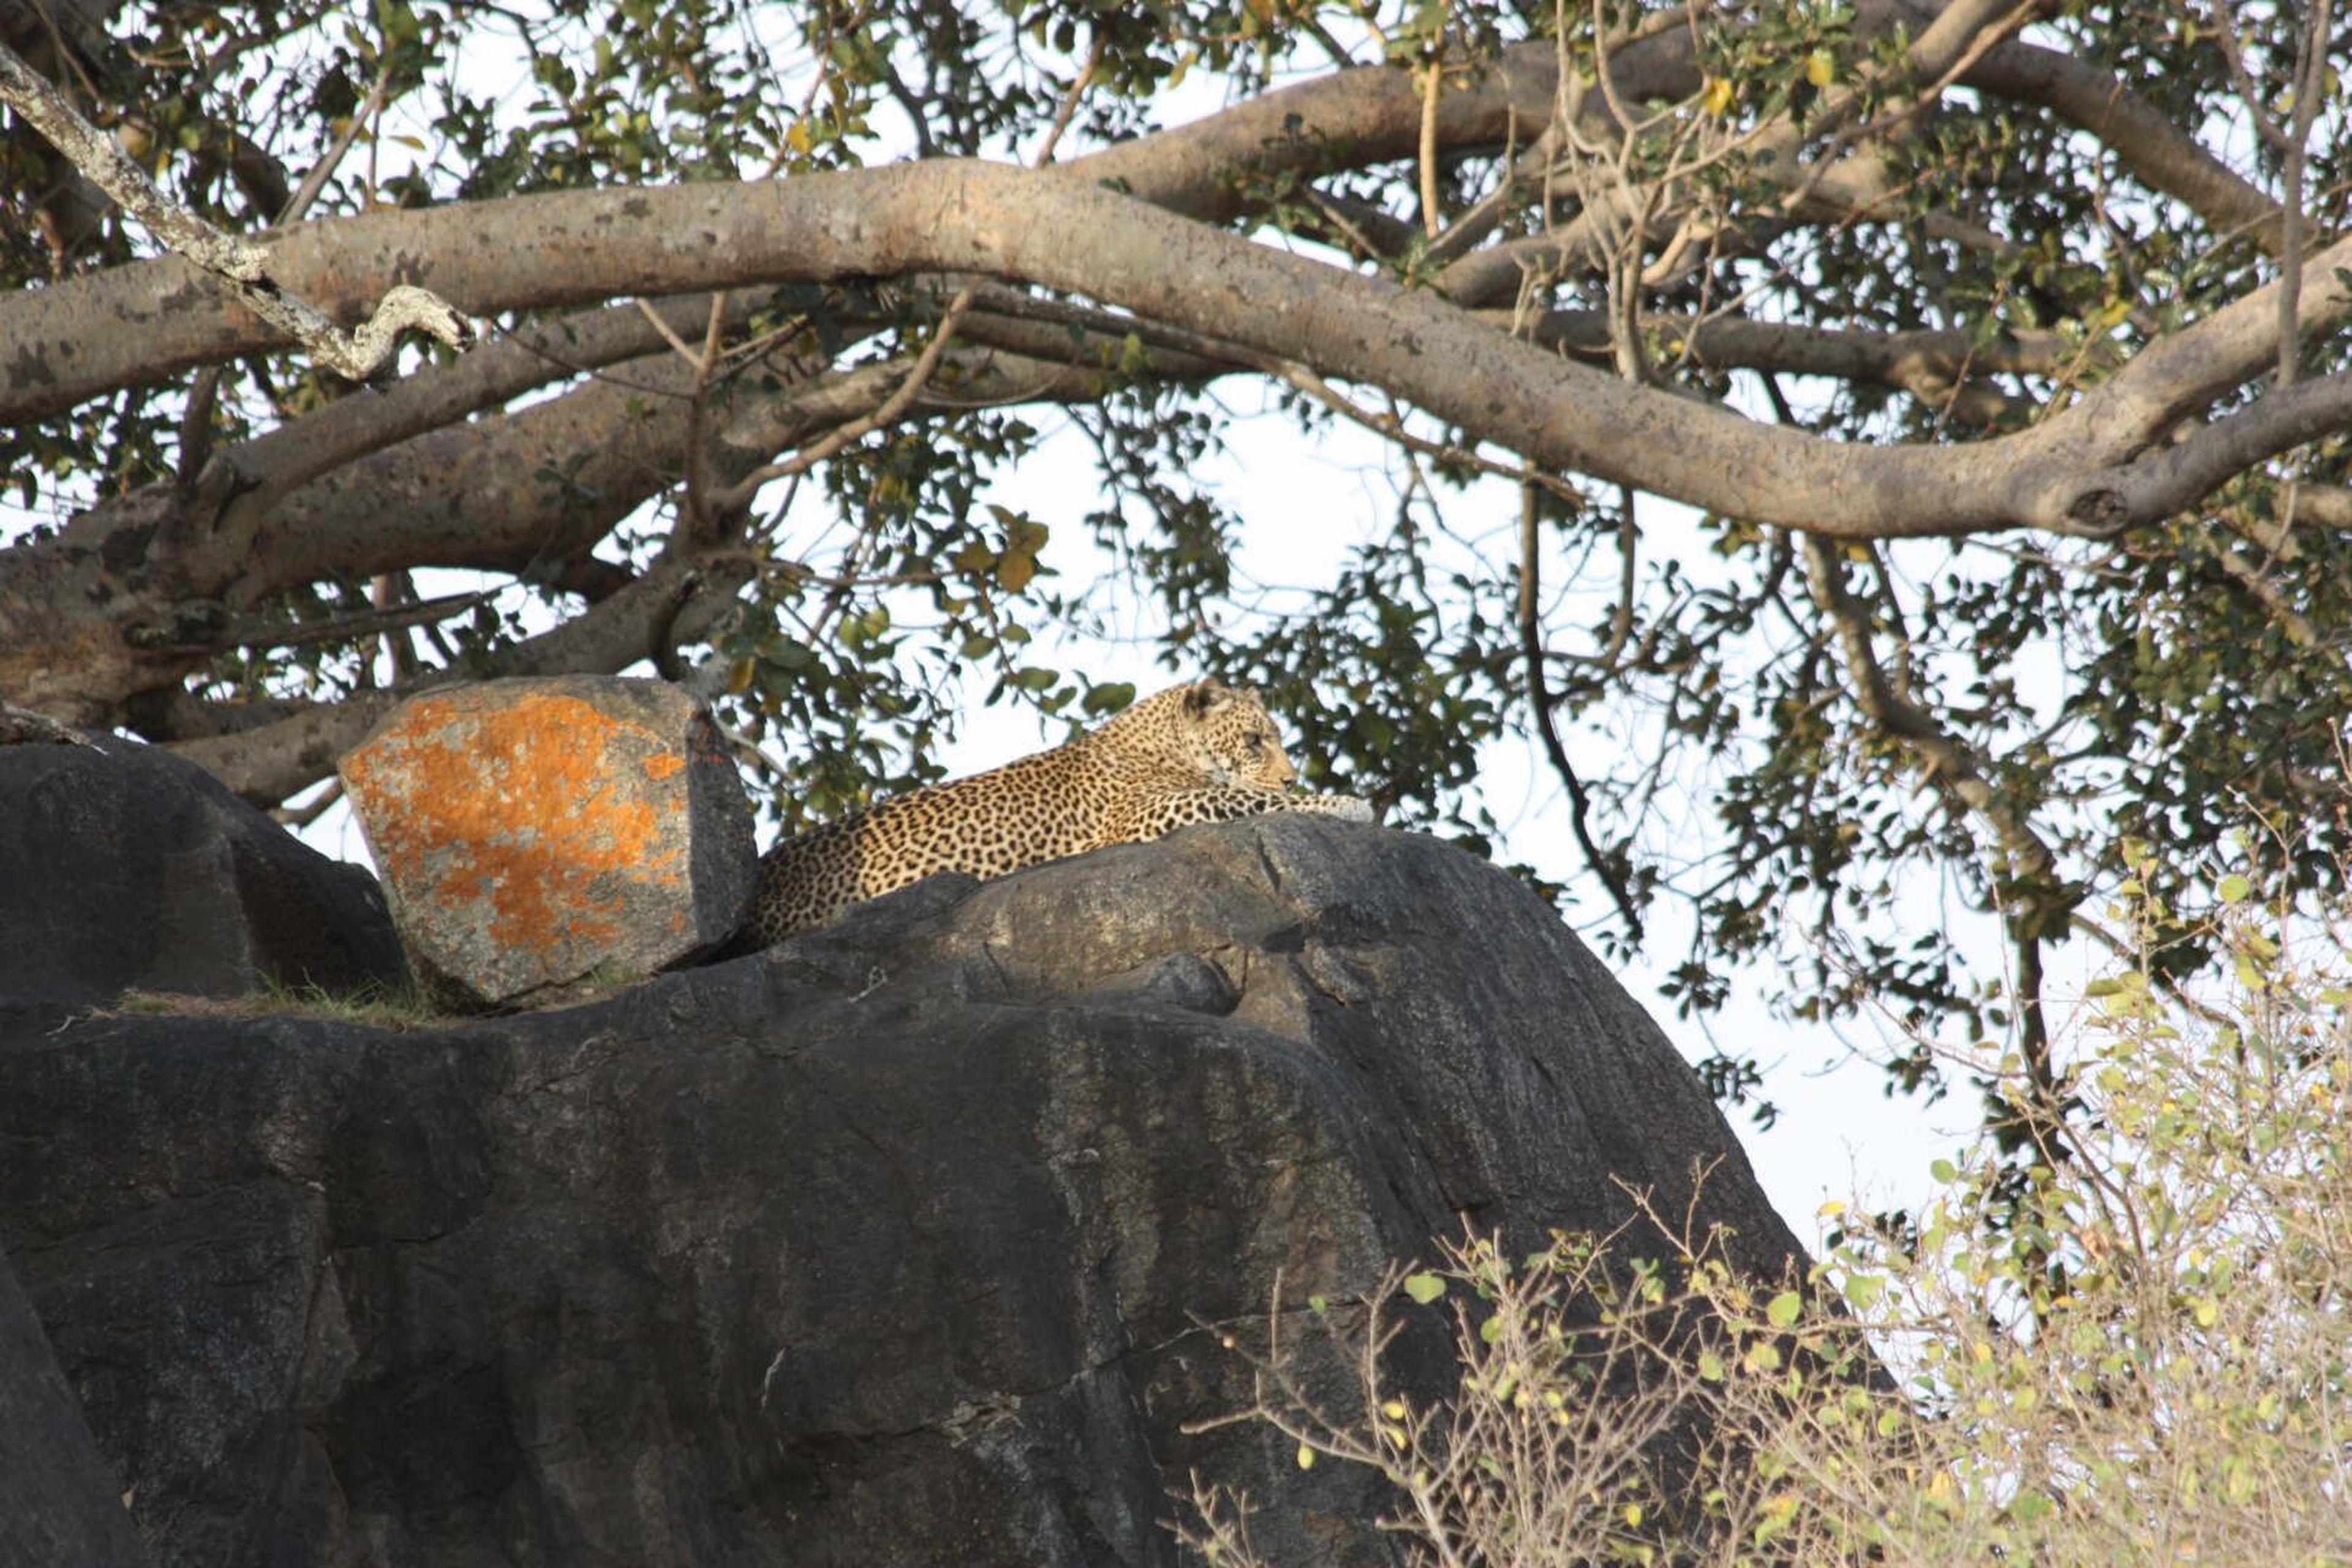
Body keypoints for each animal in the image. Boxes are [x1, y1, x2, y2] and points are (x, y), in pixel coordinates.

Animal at [743, 677, 1373, 944]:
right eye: (1253, 741)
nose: (1292, 774)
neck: (1164, 743)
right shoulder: (1143, 815)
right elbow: (1244, 795)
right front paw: (1345, 801)